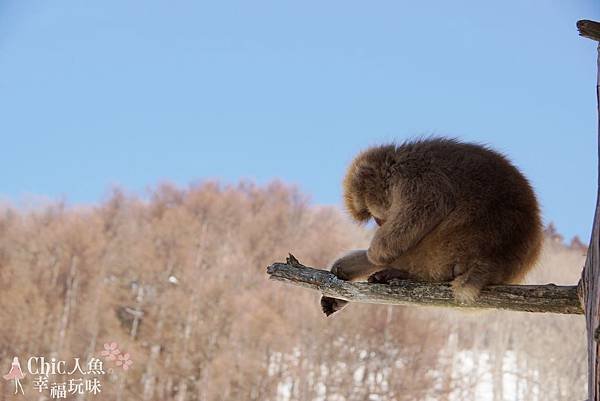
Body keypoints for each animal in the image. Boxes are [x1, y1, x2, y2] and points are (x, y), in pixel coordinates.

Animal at [324, 138, 544, 316]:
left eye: (374, 214)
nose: (380, 223)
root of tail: (497, 262)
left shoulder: (413, 175)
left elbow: (431, 205)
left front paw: (376, 253)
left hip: (450, 247)